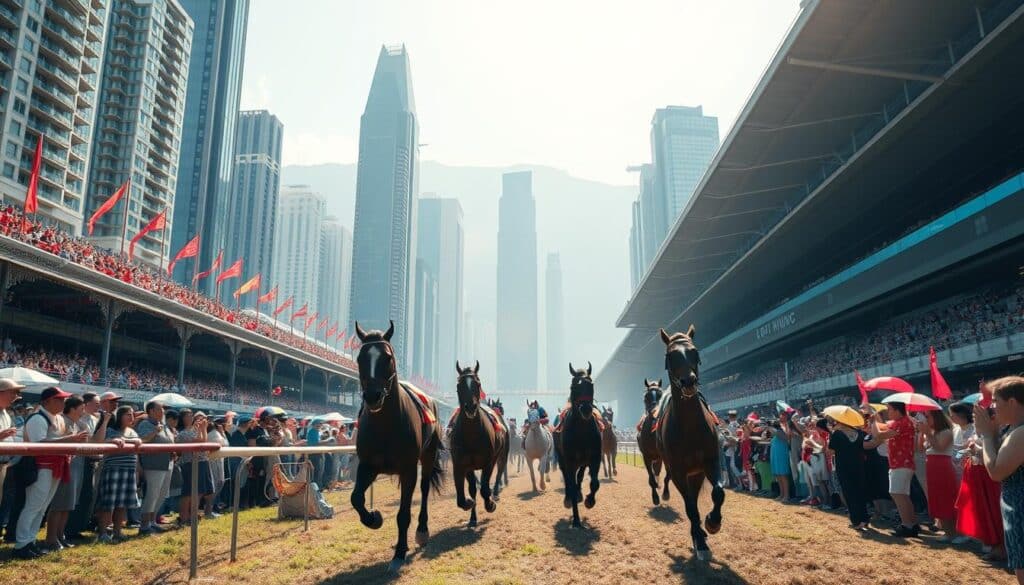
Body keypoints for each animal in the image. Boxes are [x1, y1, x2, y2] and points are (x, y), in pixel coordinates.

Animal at [350, 319, 442, 573]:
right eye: (360, 358)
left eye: (387, 357)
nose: (373, 396)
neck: (386, 426)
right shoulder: (368, 465)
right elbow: (356, 498)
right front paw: (374, 518)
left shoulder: (408, 468)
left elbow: (403, 514)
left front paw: (400, 553)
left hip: (428, 456)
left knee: (424, 489)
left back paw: (421, 532)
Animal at [450, 358, 509, 528]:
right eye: (459, 384)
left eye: (477, 383)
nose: (470, 407)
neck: (472, 436)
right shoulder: (463, 464)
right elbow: (468, 493)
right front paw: (471, 513)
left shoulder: (488, 461)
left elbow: (484, 489)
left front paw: (490, 504)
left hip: (502, 455)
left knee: (499, 472)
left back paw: (495, 493)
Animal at [557, 364, 602, 528]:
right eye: (574, 386)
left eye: (591, 385)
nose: (586, 409)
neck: (581, 431)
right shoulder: (569, 461)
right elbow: (569, 481)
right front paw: (576, 521)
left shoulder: (595, 458)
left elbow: (595, 483)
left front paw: (589, 500)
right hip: (562, 459)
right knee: (567, 478)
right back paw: (569, 498)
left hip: (582, 461)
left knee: (580, 475)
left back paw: (579, 493)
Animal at [638, 377, 671, 506]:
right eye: (646, 397)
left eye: (660, 394)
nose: (655, 412)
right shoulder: (646, 456)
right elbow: (651, 477)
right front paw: (655, 497)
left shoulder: (666, 456)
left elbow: (667, 475)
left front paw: (665, 493)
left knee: (657, 470)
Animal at [655, 327, 720, 561]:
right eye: (669, 356)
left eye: (694, 352)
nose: (688, 382)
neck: (690, 429)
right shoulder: (678, 471)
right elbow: (690, 507)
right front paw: (700, 541)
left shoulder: (710, 462)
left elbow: (718, 492)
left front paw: (713, 522)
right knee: (690, 502)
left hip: (697, 473)